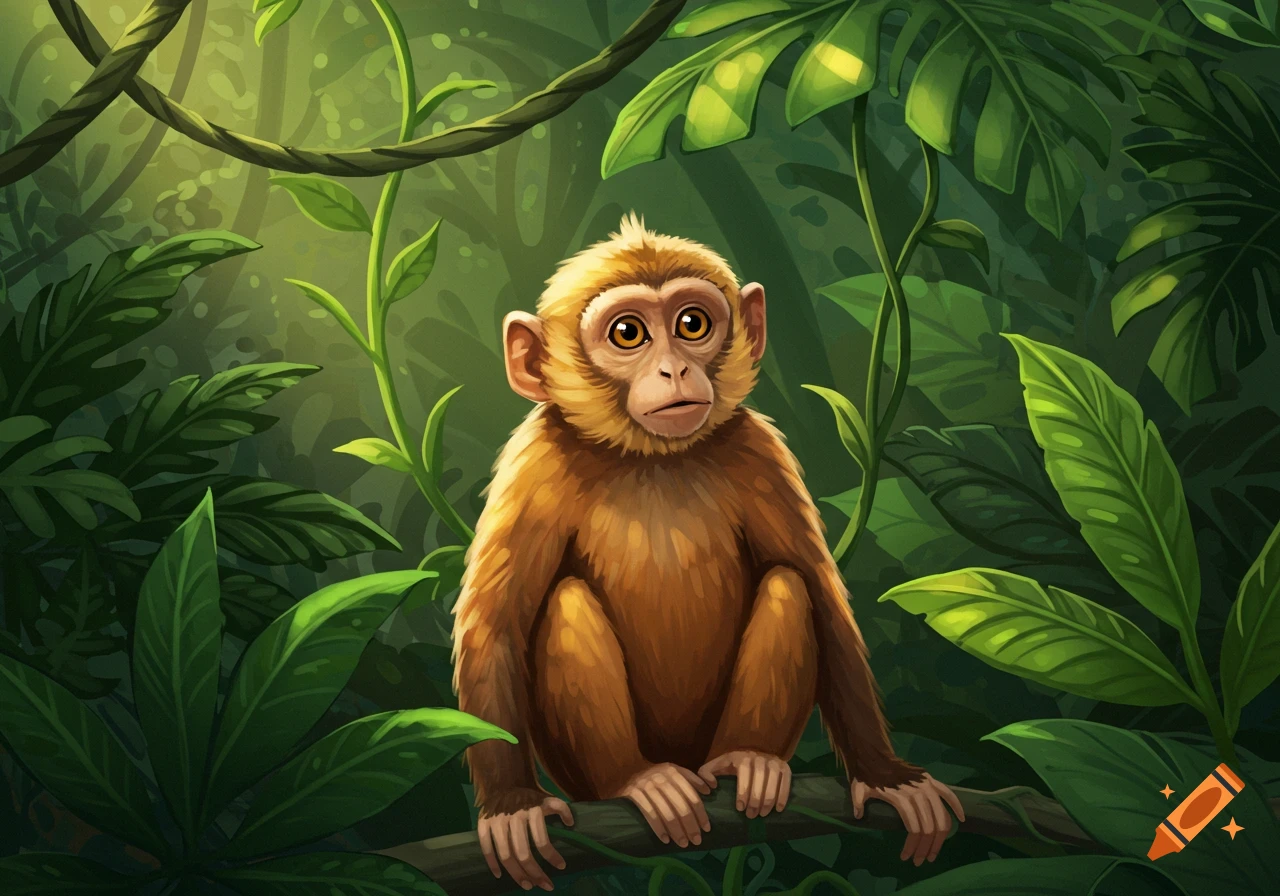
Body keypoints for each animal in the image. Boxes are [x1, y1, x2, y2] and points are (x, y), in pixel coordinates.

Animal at [452, 213, 964, 892]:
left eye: (692, 324)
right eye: (628, 333)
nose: (673, 371)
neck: (650, 458)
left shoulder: (757, 449)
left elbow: (822, 598)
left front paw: (885, 777)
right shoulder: (535, 460)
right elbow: (498, 627)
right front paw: (513, 805)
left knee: (787, 584)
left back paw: (748, 761)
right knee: (566, 600)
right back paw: (638, 780)